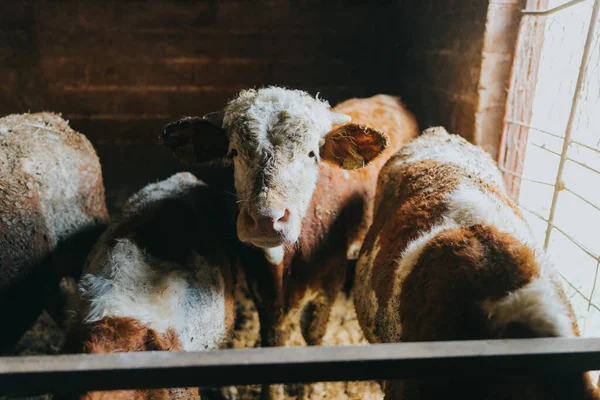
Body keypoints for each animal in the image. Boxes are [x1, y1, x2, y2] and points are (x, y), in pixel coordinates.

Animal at [162, 86, 420, 396]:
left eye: (311, 154)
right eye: (234, 152)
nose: (266, 218)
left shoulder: (329, 281)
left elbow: (313, 333)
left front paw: (309, 391)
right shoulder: (261, 288)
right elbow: (274, 339)